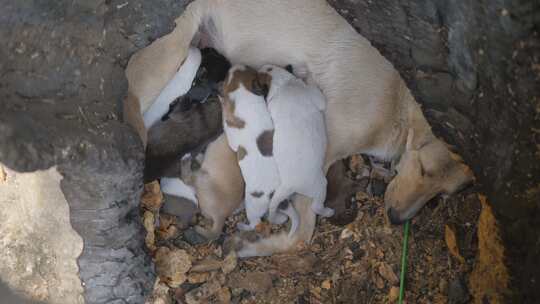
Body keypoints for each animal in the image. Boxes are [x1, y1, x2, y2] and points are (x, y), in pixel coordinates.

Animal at [218, 65, 300, 234]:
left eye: (227, 77)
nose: (235, 65)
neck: (244, 92)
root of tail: (277, 195)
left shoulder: (233, 139)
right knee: (279, 217)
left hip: (252, 205)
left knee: (256, 223)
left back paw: (242, 226)